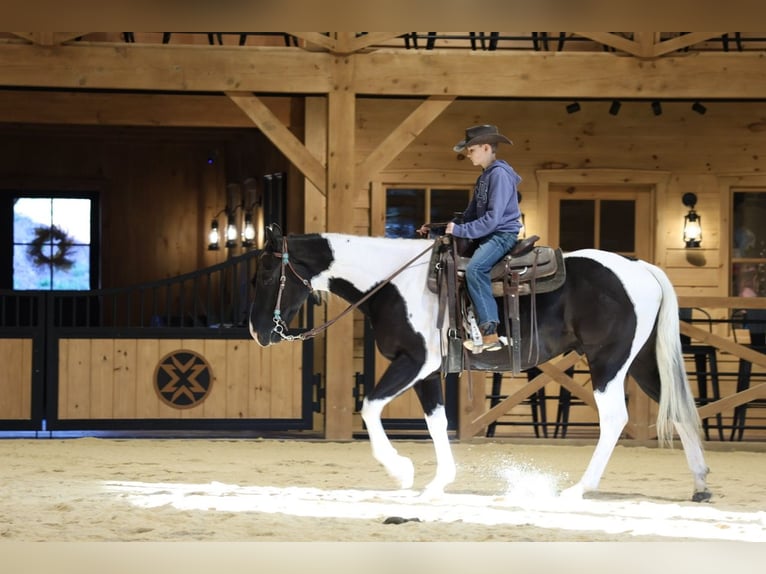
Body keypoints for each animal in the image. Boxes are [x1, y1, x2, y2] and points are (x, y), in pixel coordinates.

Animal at [249, 224, 711, 502]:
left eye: (267, 276)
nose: (257, 332)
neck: (393, 282)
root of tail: (639, 267)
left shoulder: (413, 362)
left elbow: (369, 407)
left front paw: (400, 472)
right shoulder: (427, 373)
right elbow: (436, 423)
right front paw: (437, 483)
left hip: (608, 362)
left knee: (615, 418)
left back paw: (580, 488)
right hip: (642, 362)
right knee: (682, 410)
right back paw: (701, 484)